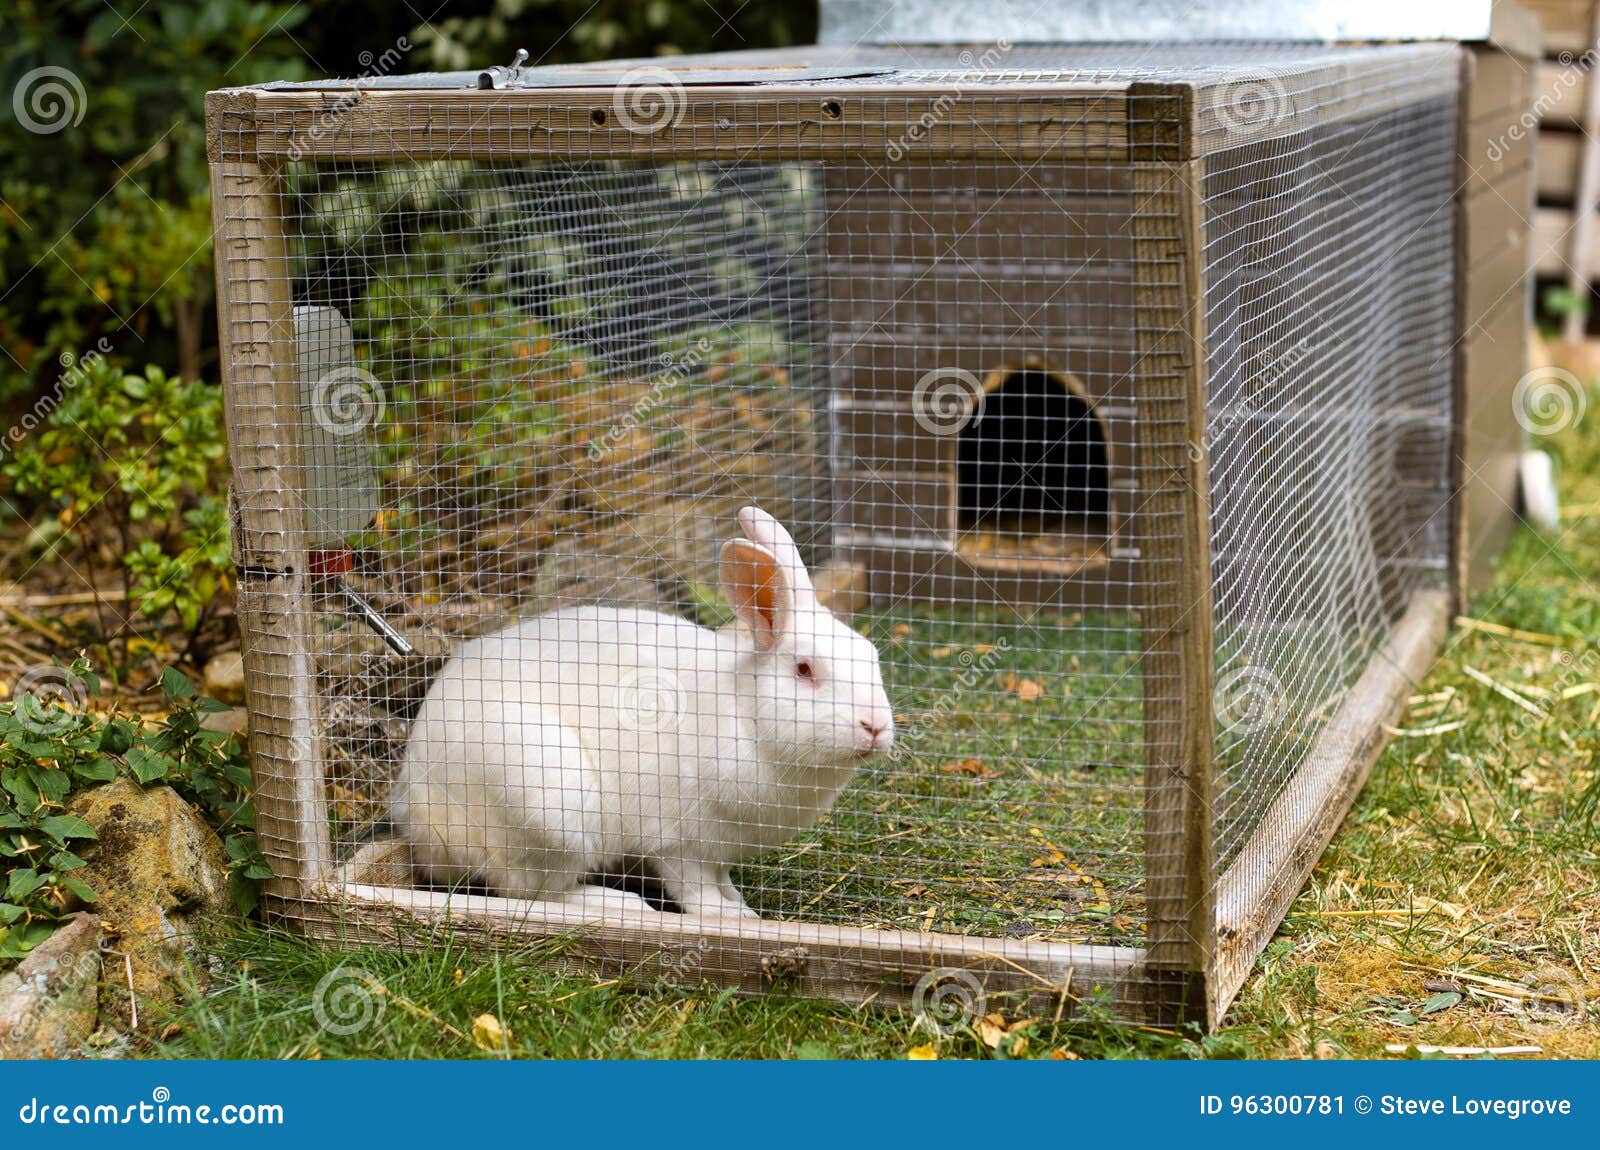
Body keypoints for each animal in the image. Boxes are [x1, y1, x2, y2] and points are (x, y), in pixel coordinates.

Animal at [391, 506, 894, 920]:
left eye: (872, 656)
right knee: (533, 891)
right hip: (550, 806)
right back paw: (619, 904)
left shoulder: (720, 848)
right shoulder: (678, 841)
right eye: (805, 669)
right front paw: (731, 917)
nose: (875, 726)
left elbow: (722, 879)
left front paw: (739, 903)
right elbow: (694, 888)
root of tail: (418, 819)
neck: (745, 715)